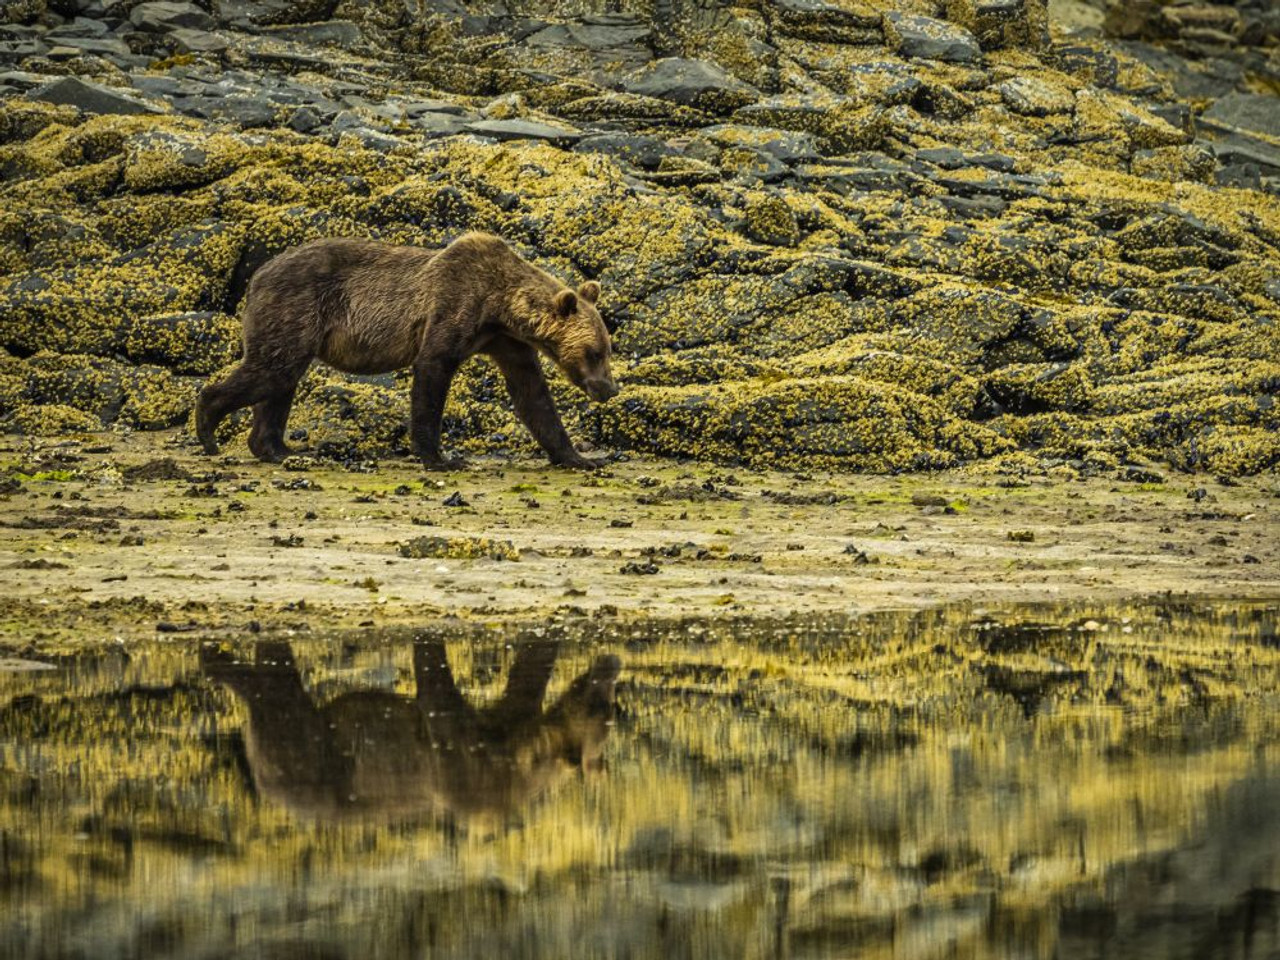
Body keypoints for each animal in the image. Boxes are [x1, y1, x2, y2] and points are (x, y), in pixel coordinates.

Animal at [192, 230, 622, 471]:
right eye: (595, 351)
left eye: (607, 348)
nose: (609, 389)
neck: (500, 304)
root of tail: (255, 277)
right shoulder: (454, 306)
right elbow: (432, 372)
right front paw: (441, 457)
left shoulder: (505, 342)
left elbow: (533, 396)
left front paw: (580, 457)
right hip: (295, 306)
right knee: (273, 369)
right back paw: (209, 428)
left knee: (282, 380)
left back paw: (278, 448)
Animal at [199, 642, 619, 824]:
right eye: (601, 709)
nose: (613, 663)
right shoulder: (463, 763)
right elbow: (438, 691)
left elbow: (528, 675)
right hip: (307, 756)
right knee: (275, 693)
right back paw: (215, 661)